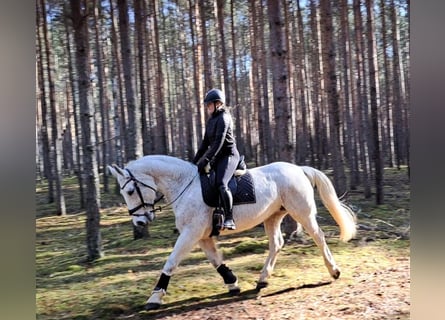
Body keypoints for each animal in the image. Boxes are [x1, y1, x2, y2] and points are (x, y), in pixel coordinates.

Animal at [108, 155, 358, 310]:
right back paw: (262, 280)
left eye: (130, 191)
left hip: (302, 212)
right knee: (276, 243)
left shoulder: (191, 233)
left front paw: (155, 297)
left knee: (318, 236)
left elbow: (171, 262)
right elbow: (215, 260)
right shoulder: (202, 236)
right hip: (273, 217)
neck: (184, 186)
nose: (140, 221)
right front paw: (233, 283)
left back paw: (334, 271)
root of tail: (298, 169)